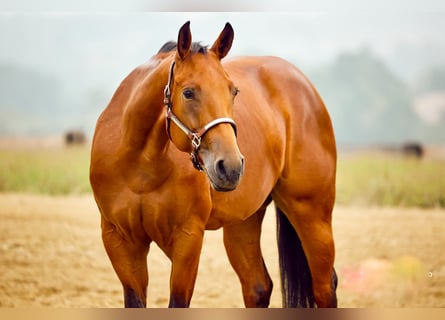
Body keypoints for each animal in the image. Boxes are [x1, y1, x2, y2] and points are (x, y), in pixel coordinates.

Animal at [90, 20, 336, 308]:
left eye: (234, 91)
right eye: (188, 92)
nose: (231, 167)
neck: (140, 168)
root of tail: (306, 88)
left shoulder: (188, 238)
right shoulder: (120, 240)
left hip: (312, 214)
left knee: (324, 286)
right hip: (243, 222)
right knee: (258, 287)